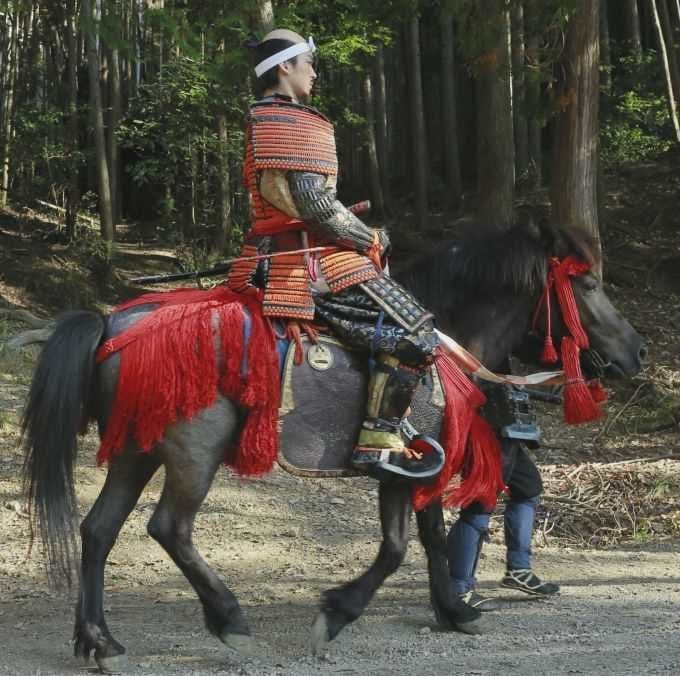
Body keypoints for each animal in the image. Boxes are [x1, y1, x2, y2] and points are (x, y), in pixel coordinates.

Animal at [20, 220, 645, 672]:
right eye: (588, 285)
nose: (637, 352)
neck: (449, 343)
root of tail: (111, 326)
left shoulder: (418, 470)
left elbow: (430, 540)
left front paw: (453, 609)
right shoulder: (401, 470)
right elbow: (396, 549)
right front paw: (338, 613)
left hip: (137, 451)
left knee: (98, 530)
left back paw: (97, 640)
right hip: (193, 453)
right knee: (169, 528)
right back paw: (229, 620)